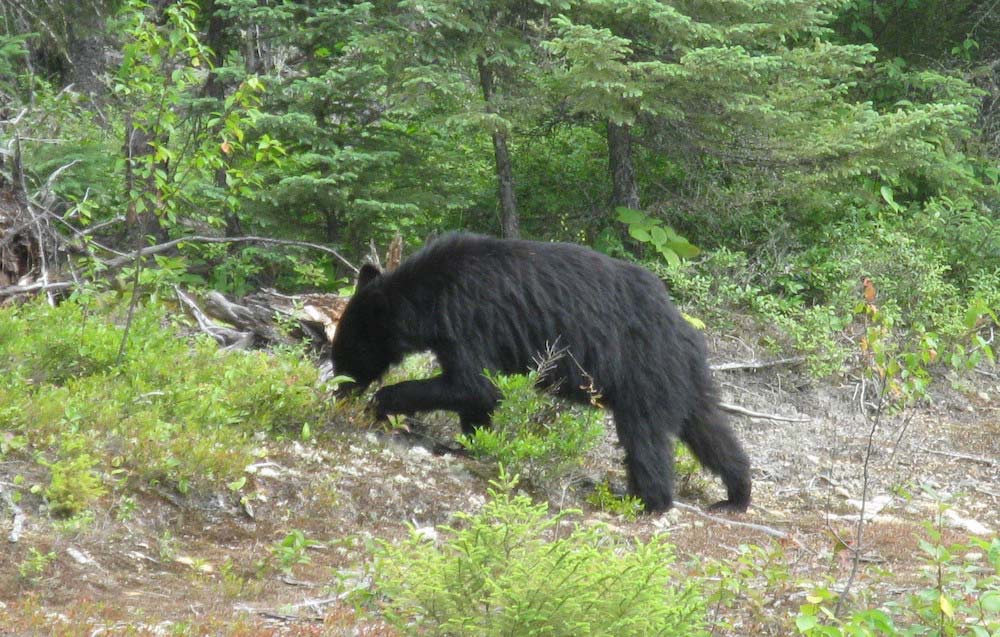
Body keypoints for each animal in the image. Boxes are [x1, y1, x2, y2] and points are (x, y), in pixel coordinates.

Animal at [334, 234, 752, 512]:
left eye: (345, 351)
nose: (339, 391)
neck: (430, 293)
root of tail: (684, 329)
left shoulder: (469, 319)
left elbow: (475, 384)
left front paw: (383, 402)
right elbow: (477, 394)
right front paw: (473, 441)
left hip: (643, 371)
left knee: (644, 437)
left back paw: (643, 499)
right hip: (685, 379)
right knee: (710, 430)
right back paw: (736, 494)